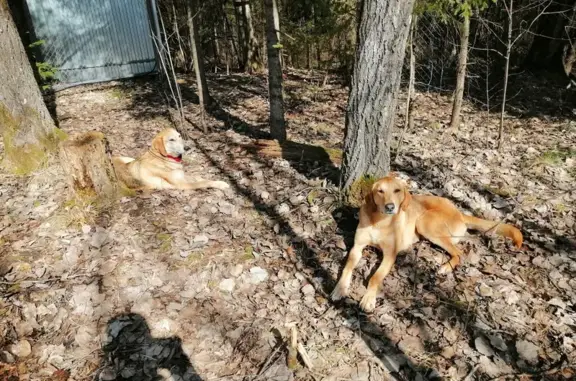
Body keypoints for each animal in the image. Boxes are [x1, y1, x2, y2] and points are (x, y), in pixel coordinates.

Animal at [330, 174, 524, 310]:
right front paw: (340, 288)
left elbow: (376, 277)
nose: (390, 207)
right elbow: (347, 267)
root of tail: (460, 213)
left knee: (458, 252)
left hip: (425, 221)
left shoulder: (390, 255)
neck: (380, 221)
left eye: (397, 191)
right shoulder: (357, 247)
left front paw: (369, 298)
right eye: (380, 191)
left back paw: (446, 267)